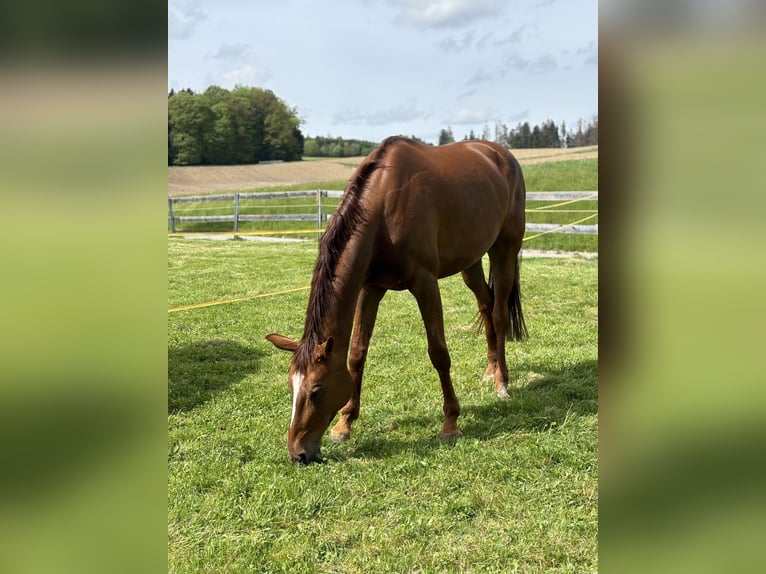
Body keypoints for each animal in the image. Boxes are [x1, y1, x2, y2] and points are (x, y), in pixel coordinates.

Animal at [266, 136, 528, 464]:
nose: (298, 453)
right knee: (485, 304)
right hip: (470, 261)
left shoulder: (425, 284)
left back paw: (501, 383)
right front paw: (344, 424)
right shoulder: (370, 288)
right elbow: (357, 353)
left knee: (499, 315)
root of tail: (502, 155)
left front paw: (451, 423)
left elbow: (438, 353)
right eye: (291, 386)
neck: (383, 211)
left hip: (504, 249)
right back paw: (490, 369)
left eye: (316, 389)